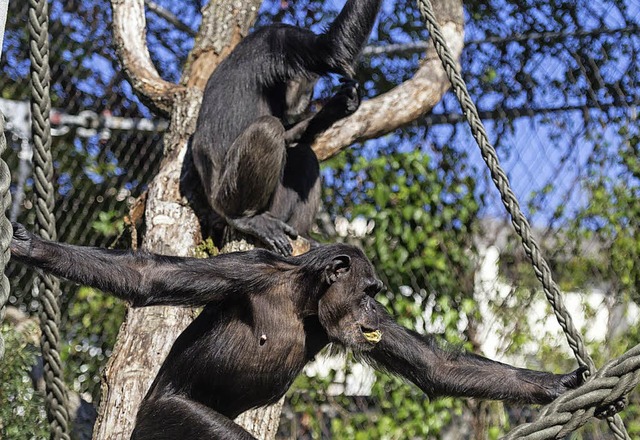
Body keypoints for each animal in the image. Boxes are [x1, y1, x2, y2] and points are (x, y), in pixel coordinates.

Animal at [11, 223, 592, 440]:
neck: (300, 298)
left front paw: (560, 384)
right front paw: (30, 247)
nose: (369, 306)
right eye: (368, 288)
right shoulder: (248, 268)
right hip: (166, 416)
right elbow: (146, 278)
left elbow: (436, 366)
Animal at [189, 0, 380, 256]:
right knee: (268, 129)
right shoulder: (280, 40)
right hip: (226, 196)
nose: (306, 96)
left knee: (304, 155)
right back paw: (246, 217)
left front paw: (338, 105)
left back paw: (306, 238)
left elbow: (290, 136)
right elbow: (330, 48)